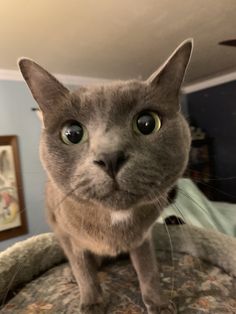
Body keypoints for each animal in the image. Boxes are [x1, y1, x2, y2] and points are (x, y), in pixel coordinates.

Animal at [18, 39, 192, 314]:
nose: (110, 157)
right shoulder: (67, 234)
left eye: (147, 123)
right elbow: (83, 270)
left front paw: (158, 303)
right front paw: (91, 302)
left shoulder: (143, 236)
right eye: (72, 133)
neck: (114, 219)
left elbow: (148, 268)